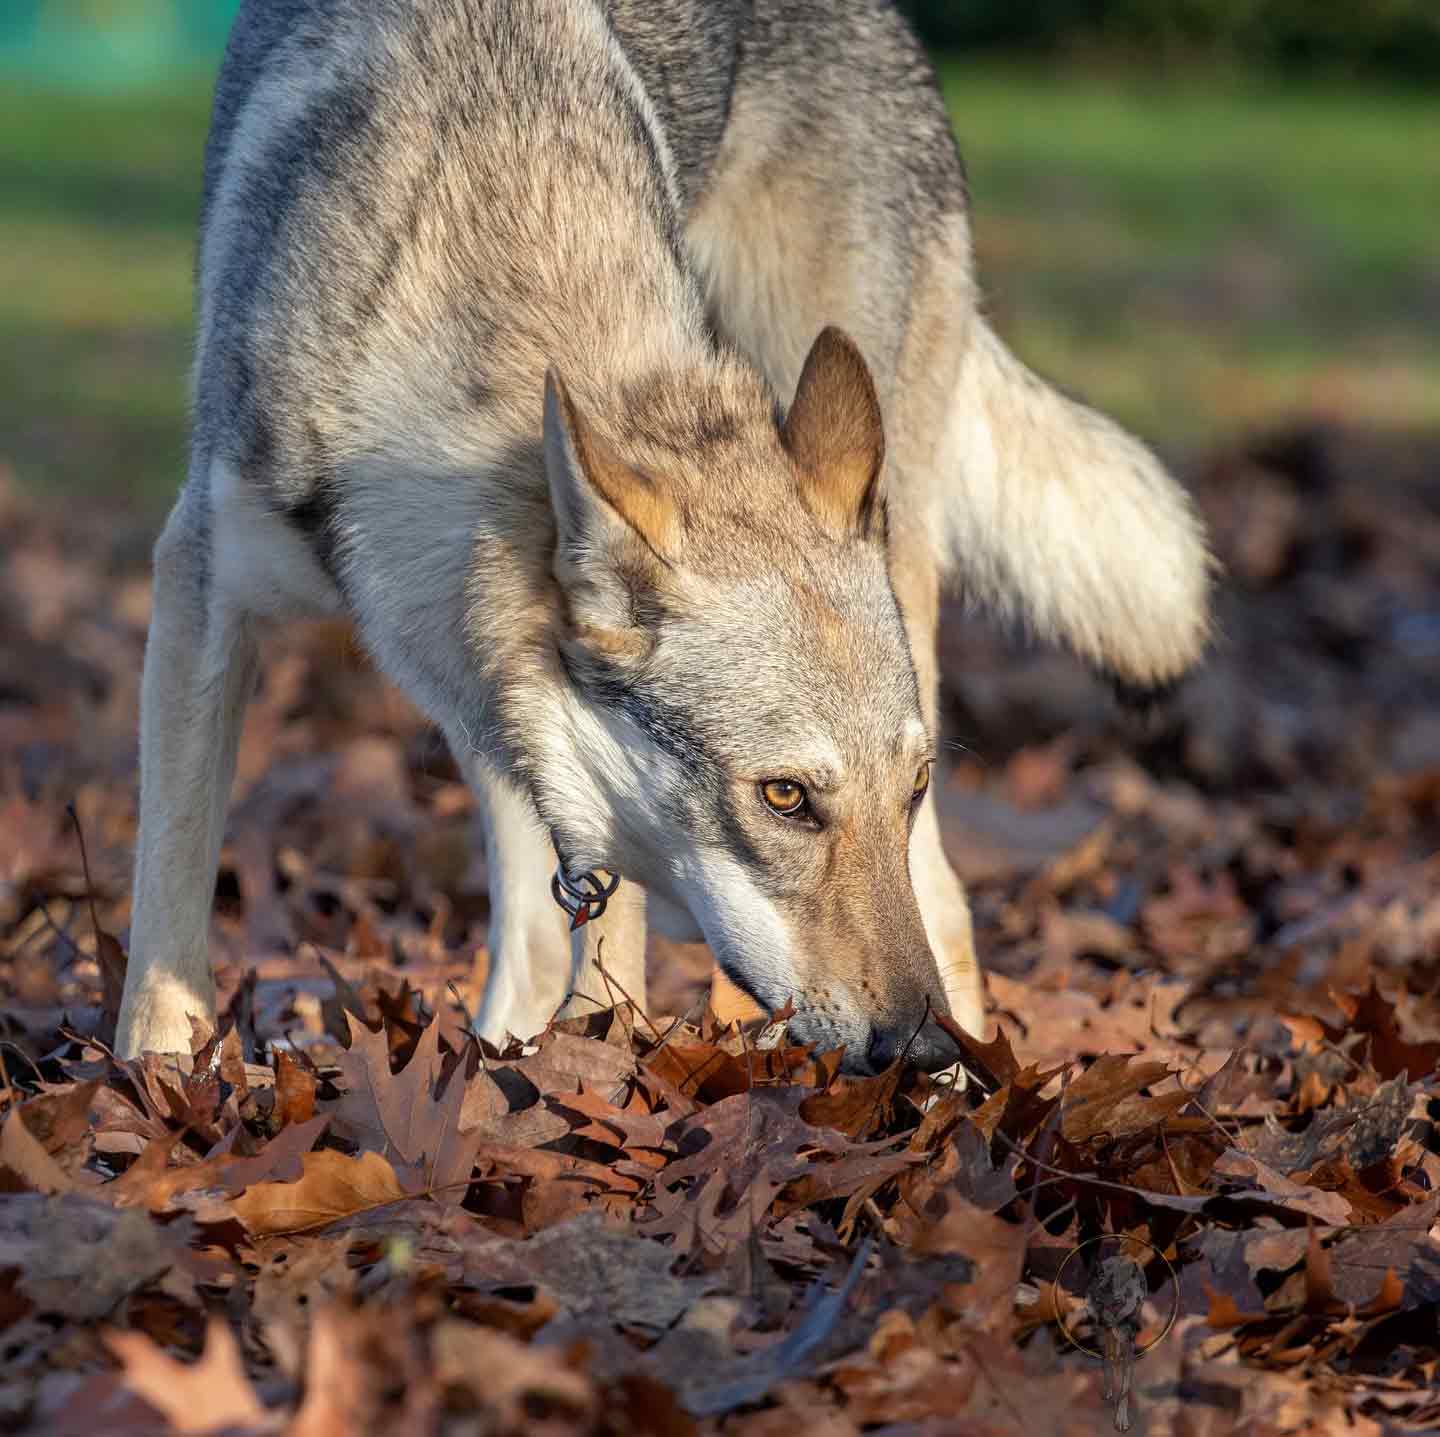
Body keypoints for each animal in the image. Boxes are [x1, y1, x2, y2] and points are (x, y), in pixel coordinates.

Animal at [115, 0, 1212, 1071]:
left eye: (907, 785)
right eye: (785, 797)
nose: (913, 1042)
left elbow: (615, 969)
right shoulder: (207, 584)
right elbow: (170, 902)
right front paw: (155, 1083)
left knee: (944, 904)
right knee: (534, 930)